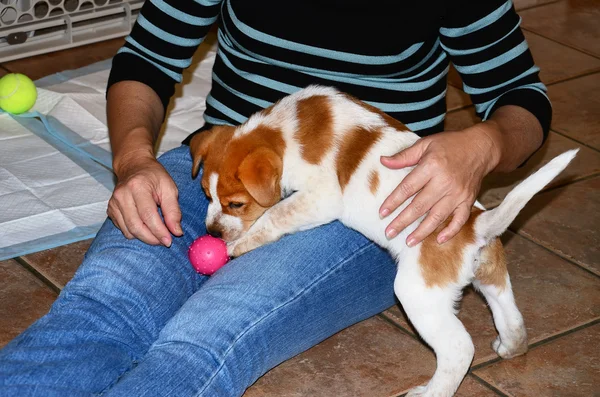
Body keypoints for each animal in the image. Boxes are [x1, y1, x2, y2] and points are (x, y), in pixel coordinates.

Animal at [191, 86, 576, 396]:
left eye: (236, 204)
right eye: (205, 194)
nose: (211, 234)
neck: (287, 129)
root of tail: (474, 224)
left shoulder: (321, 198)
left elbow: (275, 215)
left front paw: (237, 245)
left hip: (418, 295)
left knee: (459, 349)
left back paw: (430, 392)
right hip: (491, 279)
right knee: (510, 316)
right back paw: (512, 346)